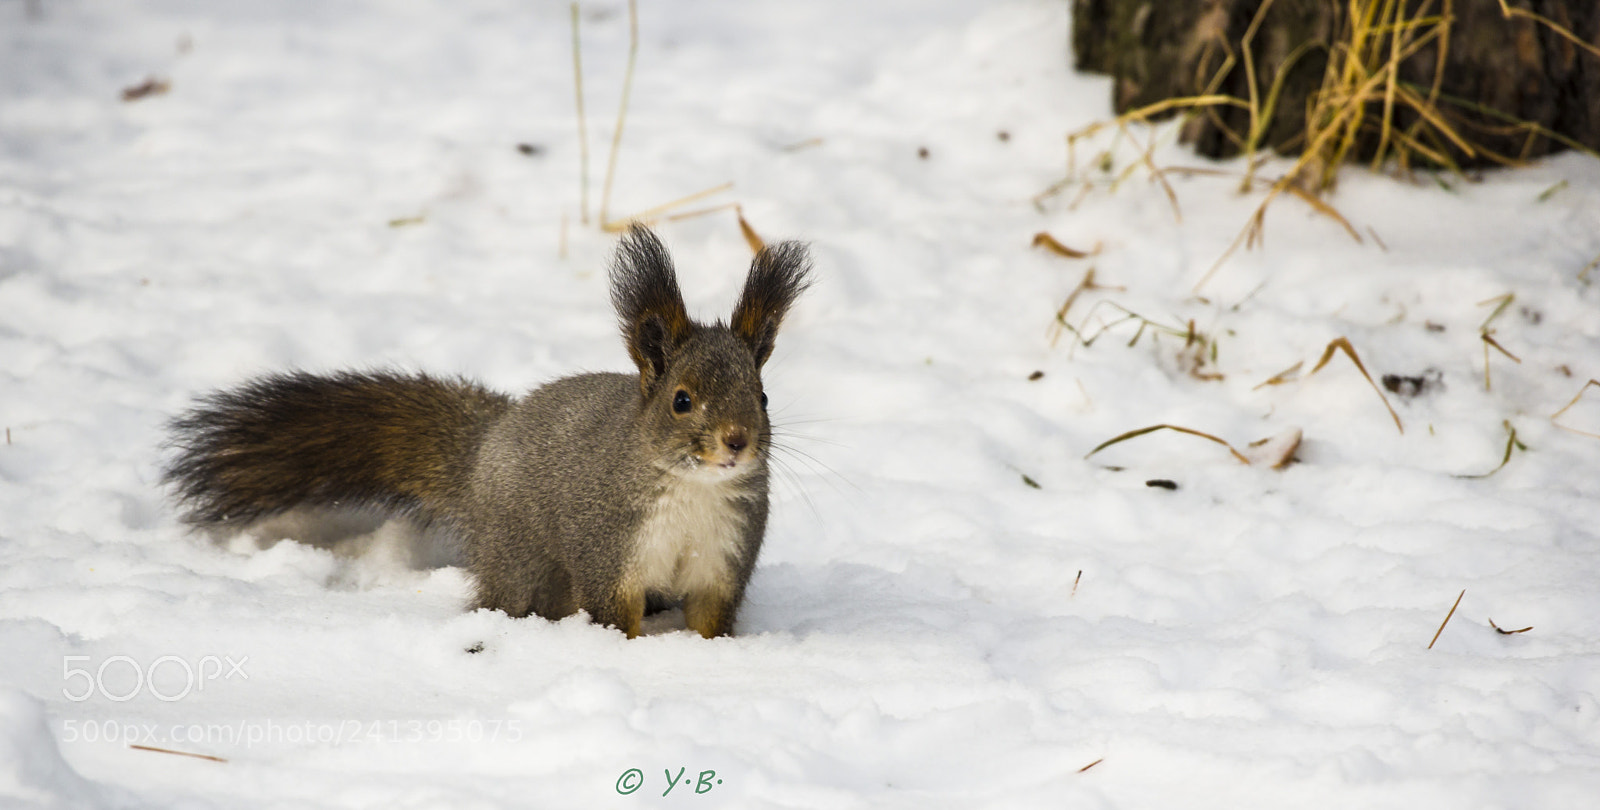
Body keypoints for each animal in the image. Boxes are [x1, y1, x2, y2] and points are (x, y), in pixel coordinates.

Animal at [163, 226, 811, 638]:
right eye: (681, 401)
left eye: (762, 397)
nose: (736, 441)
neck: (695, 490)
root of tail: (484, 447)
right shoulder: (610, 553)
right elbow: (614, 619)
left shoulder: (722, 566)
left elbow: (710, 625)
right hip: (519, 557)